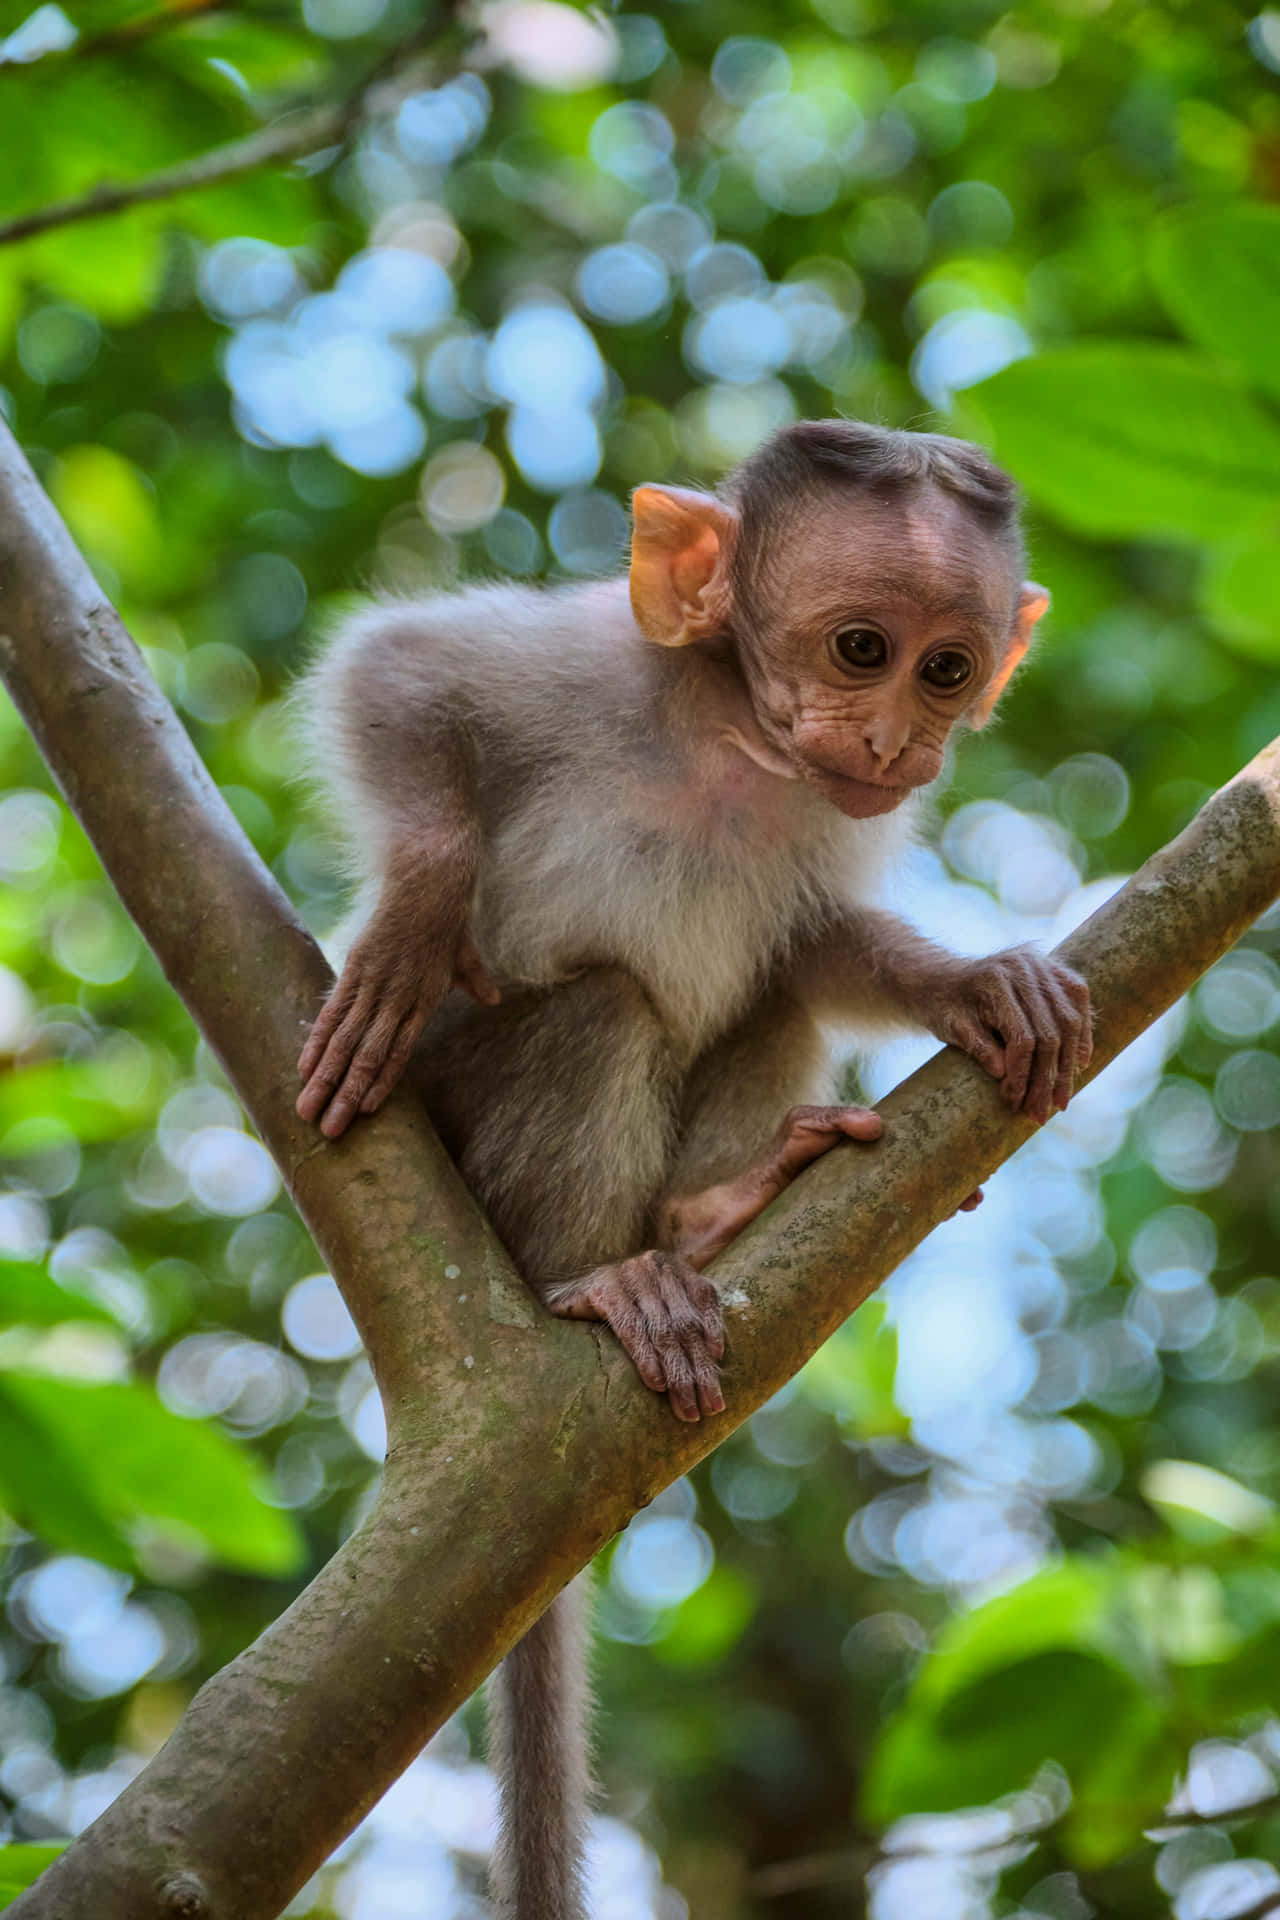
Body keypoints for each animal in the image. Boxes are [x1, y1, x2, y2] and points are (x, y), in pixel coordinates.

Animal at [297, 424, 1090, 1920]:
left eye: (947, 668)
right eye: (860, 648)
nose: (897, 739)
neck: (734, 749)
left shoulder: (831, 817)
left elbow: (819, 943)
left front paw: (968, 984)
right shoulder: (584, 666)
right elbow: (397, 669)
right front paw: (421, 901)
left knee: (770, 996)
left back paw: (714, 1215)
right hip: (462, 1118)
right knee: (606, 1010)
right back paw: (596, 1281)